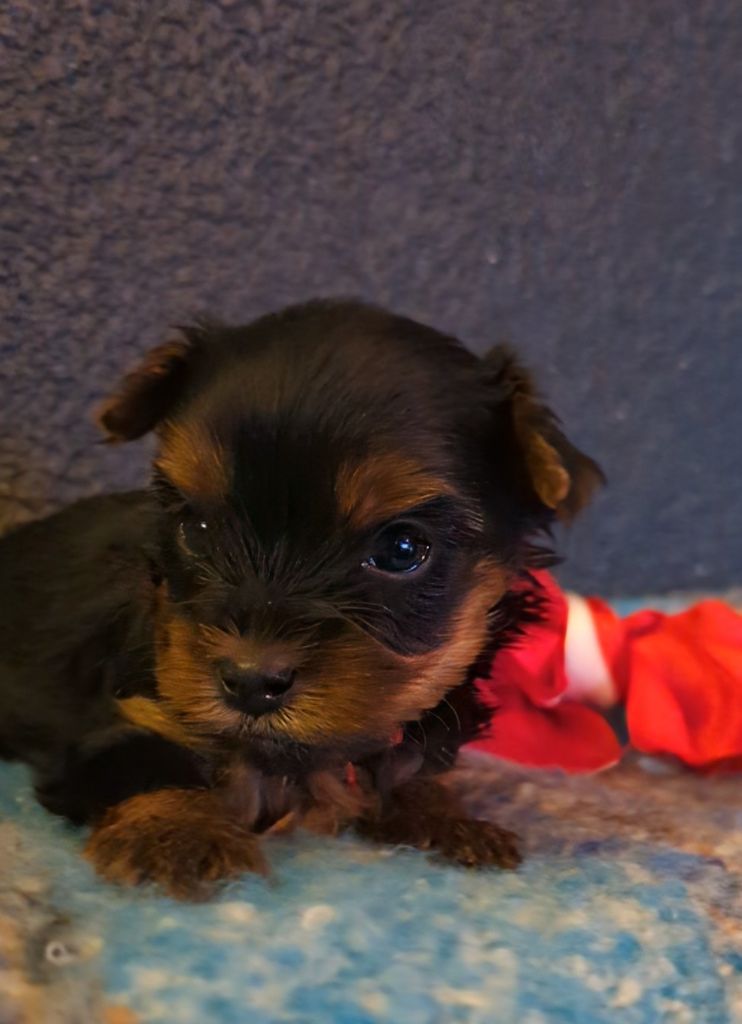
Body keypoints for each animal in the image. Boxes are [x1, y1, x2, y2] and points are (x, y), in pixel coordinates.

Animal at [0, 299, 597, 901]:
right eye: (196, 527)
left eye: (402, 549)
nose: (250, 680)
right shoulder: (118, 718)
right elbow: (146, 762)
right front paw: (179, 834)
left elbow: (407, 768)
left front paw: (449, 818)